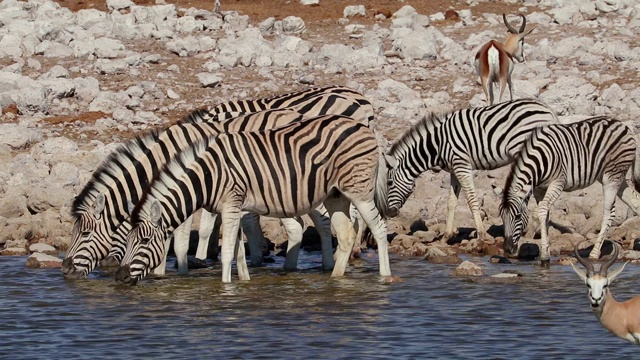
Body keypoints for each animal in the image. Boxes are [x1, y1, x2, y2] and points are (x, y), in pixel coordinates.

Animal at [62, 86, 372, 278]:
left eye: (85, 233)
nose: (64, 269)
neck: (162, 158)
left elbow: (183, 236)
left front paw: (174, 271)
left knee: (328, 219)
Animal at [117, 114, 392, 284]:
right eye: (127, 240)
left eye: (144, 241)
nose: (120, 276)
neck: (207, 176)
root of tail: (364, 127)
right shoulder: (234, 208)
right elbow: (239, 252)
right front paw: (243, 283)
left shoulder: (231, 205)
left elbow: (228, 251)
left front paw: (226, 287)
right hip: (336, 194)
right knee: (345, 235)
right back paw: (336, 278)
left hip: (359, 192)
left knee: (378, 228)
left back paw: (384, 276)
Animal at [384, 98, 560, 242]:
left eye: (389, 183)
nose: (390, 213)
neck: (436, 145)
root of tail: (548, 109)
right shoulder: (454, 169)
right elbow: (451, 202)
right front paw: (447, 235)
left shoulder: (461, 165)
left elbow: (471, 199)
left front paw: (481, 234)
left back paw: (531, 230)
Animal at [500, 116, 640, 264]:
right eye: (502, 217)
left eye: (518, 216)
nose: (508, 249)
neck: (540, 162)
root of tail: (624, 126)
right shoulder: (539, 190)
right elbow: (545, 214)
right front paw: (546, 252)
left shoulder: (557, 183)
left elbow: (542, 211)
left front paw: (544, 256)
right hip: (614, 176)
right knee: (635, 202)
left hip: (612, 176)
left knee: (609, 213)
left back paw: (594, 254)